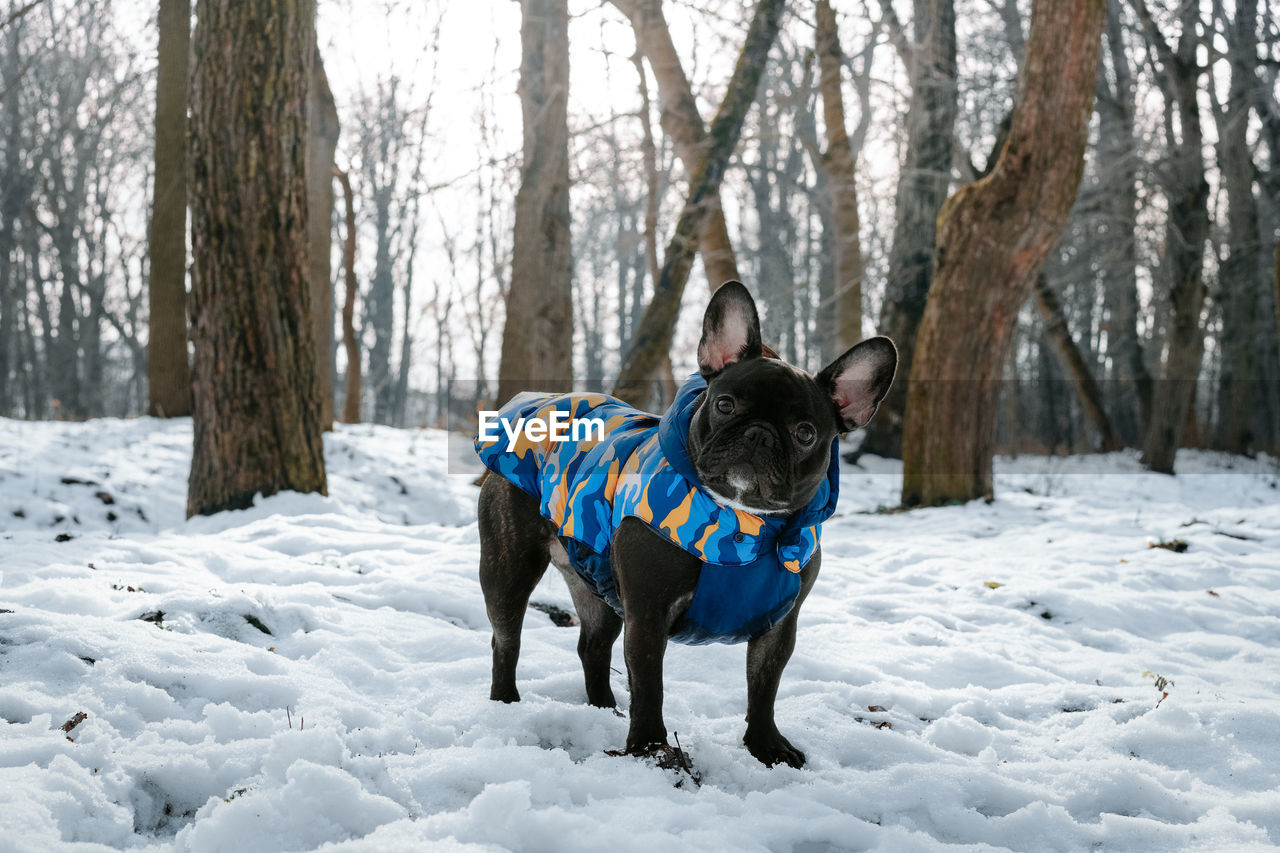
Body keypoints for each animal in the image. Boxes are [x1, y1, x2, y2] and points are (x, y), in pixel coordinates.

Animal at [473, 281, 901, 768]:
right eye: (725, 404)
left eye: (806, 433)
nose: (758, 433)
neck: (741, 521)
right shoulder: (648, 614)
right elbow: (650, 687)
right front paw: (649, 748)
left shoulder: (779, 626)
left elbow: (764, 688)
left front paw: (766, 746)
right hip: (509, 569)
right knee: (506, 640)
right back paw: (506, 702)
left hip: (596, 586)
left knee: (593, 646)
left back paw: (604, 710)